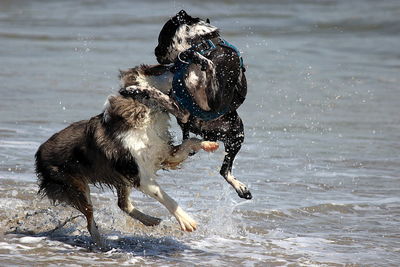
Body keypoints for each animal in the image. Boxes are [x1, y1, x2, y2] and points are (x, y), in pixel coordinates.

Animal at [35, 65, 219, 249]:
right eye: (171, 67)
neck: (146, 109)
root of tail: (39, 153)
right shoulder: (141, 176)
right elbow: (166, 197)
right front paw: (187, 221)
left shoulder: (163, 153)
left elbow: (189, 142)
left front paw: (208, 144)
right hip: (76, 186)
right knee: (90, 219)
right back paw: (101, 245)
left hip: (120, 177)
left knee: (122, 204)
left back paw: (150, 220)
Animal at [122, 10, 253, 200]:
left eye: (162, 36)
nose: (155, 51)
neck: (204, 45)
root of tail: (210, 134)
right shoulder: (180, 107)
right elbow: (157, 92)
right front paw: (135, 88)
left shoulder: (210, 101)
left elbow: (207, 64)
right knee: (222, 169)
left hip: (237, 133)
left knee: (225, 170)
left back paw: (241, 187)